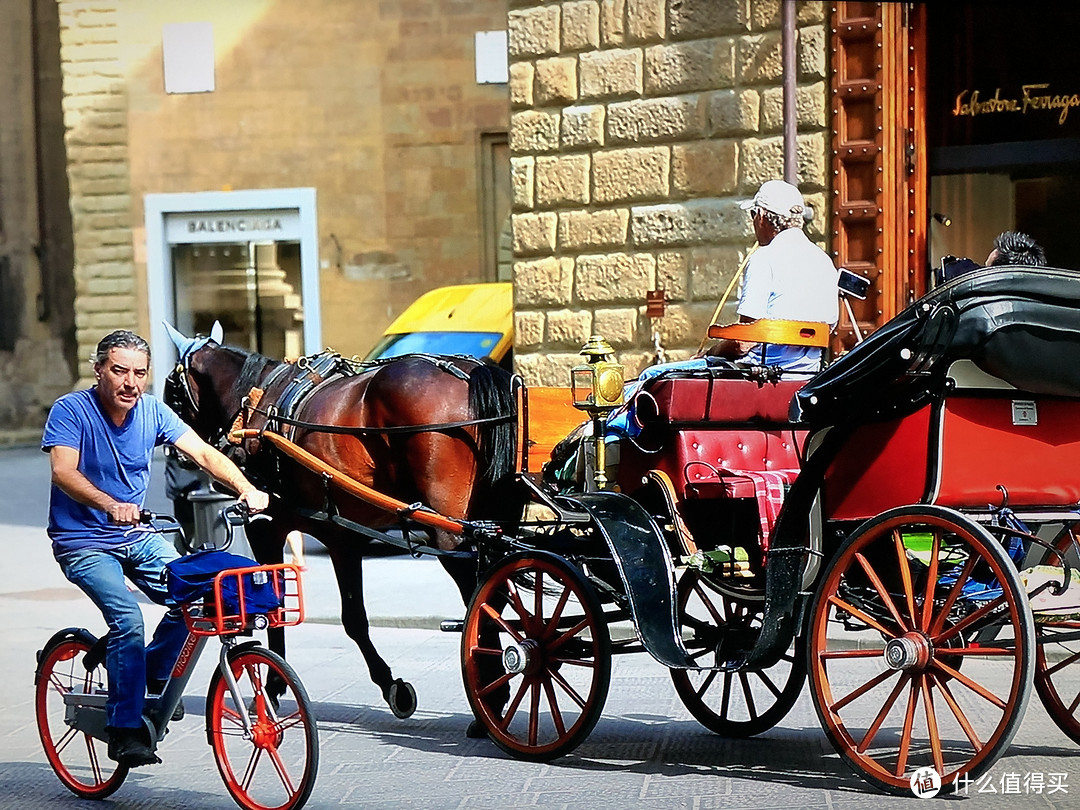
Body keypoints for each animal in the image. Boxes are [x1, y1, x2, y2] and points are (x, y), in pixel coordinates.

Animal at [164, 326, 518, 721]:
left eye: (171, 390)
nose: (176, 452)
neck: (254, 402)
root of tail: (470, 373)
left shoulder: (264, 528)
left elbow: (278, 612)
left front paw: (270, 688)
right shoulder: (343, 535)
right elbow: (354, 617)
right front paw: (391, 685)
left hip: (448, 532)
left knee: (480, 594)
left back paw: (492, 696)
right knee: (498, 591)